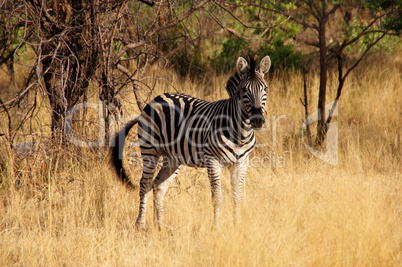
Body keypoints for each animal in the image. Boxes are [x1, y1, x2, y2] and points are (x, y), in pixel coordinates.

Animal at [111, 55, 272, 230]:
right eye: (244, 90)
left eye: (265, 88)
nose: (258, 120)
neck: (240, 133)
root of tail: (155, 99)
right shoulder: (212, 160)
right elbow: (217, 197)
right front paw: (217, 228)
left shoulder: (242, 162)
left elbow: (237, 197)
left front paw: (237, 227)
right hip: (150, 149)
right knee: (145, 184)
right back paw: (141, 224)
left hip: (172, 157)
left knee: (158, 186)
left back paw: (161, 226)